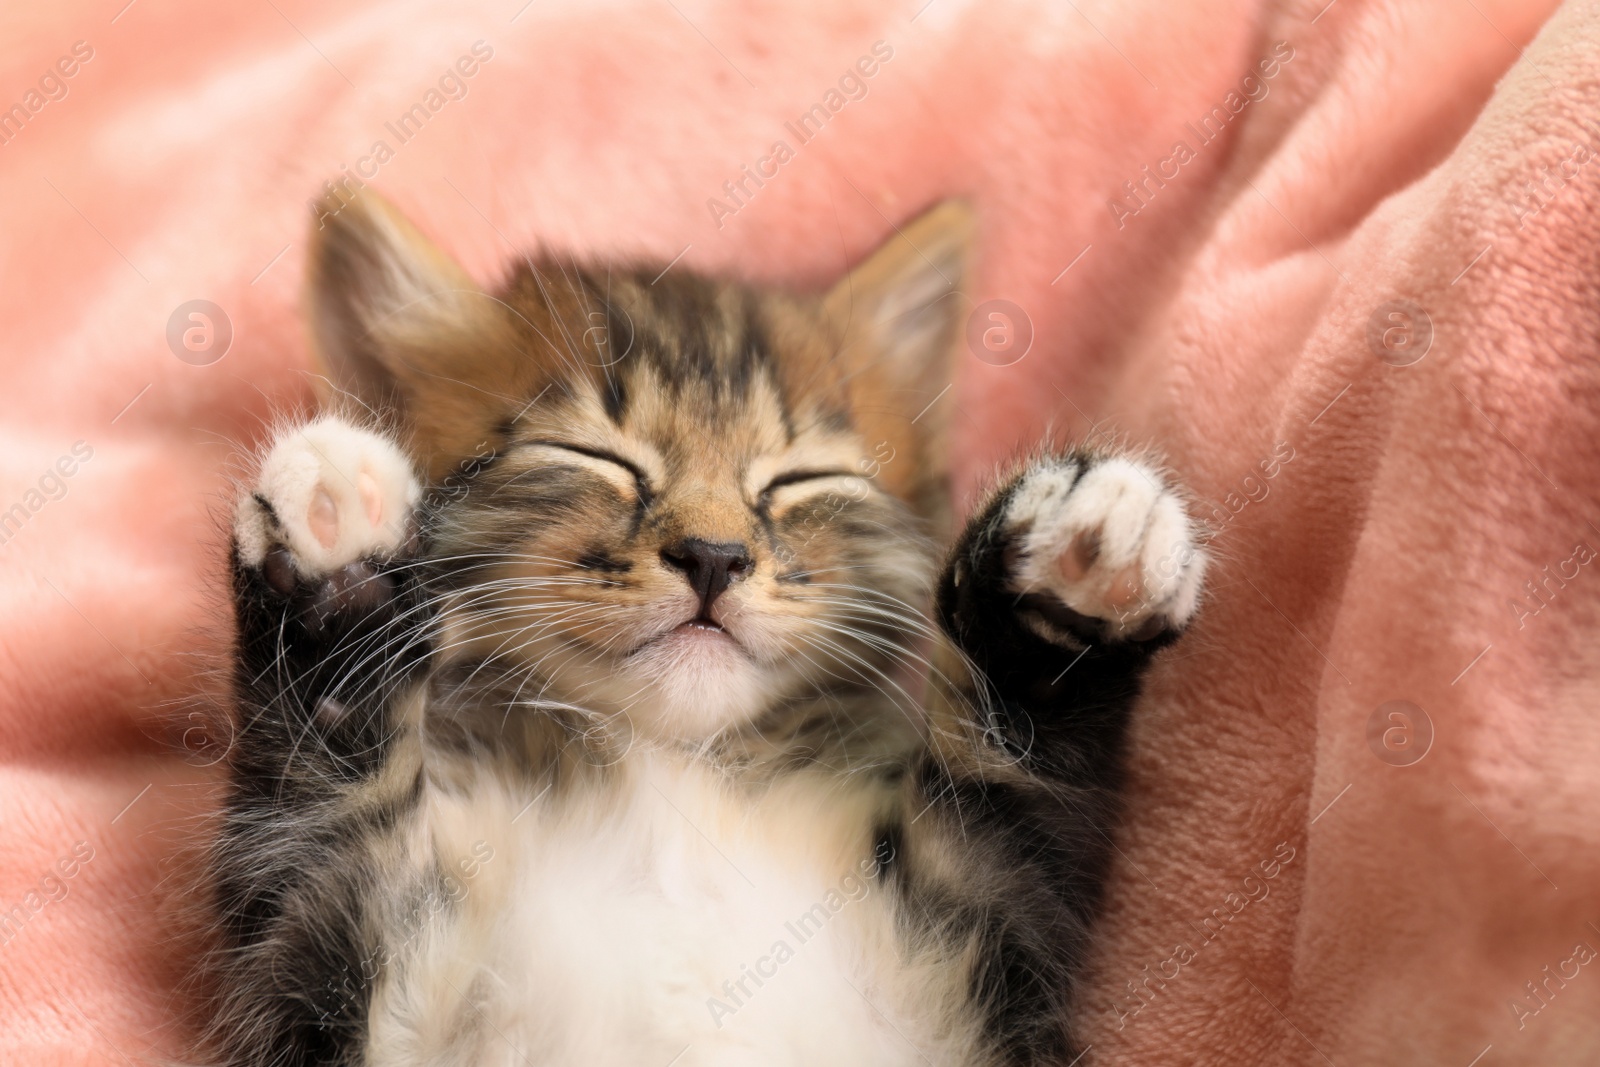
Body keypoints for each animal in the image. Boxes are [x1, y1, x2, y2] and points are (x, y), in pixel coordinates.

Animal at [200, 194, 1203, 1067]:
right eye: (589, 455)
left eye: (799, 479)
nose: (715, 554)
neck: (668, 772)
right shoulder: (338, 996)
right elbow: (330, 840)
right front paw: (339, 543)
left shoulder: (974, 976)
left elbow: (1014, 805)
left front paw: (1076, 568)